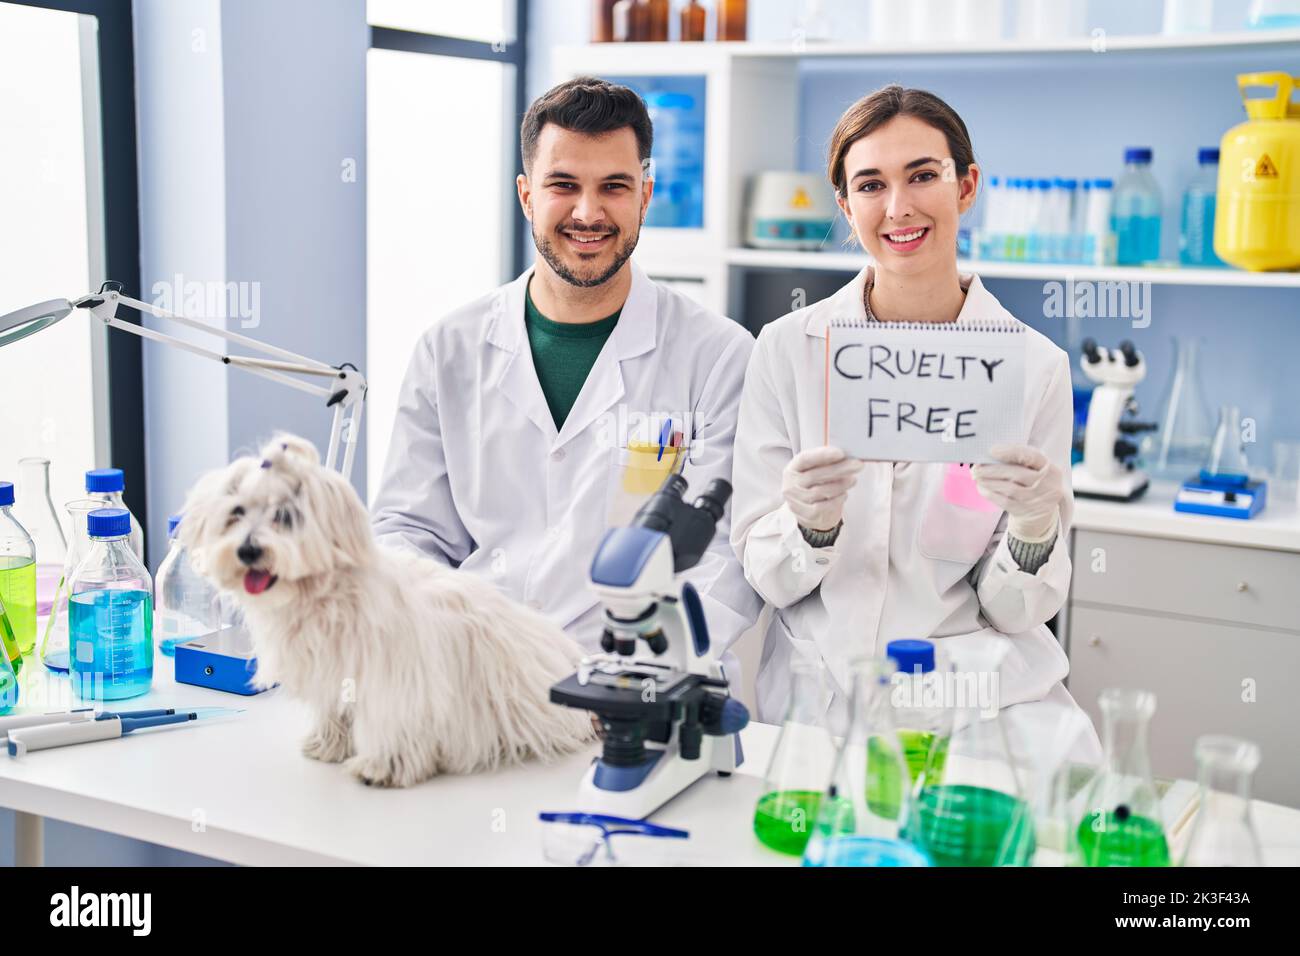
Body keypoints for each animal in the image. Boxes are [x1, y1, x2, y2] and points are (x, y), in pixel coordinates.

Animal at [178, 437, 595, 790]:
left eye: (285, 515)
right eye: (237, 512)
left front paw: (383, 766)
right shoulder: (334, 671)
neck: (326, 592)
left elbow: (394, 721)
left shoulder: (399, 678)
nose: (248, 550)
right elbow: (333, 711)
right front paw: (328, 743)